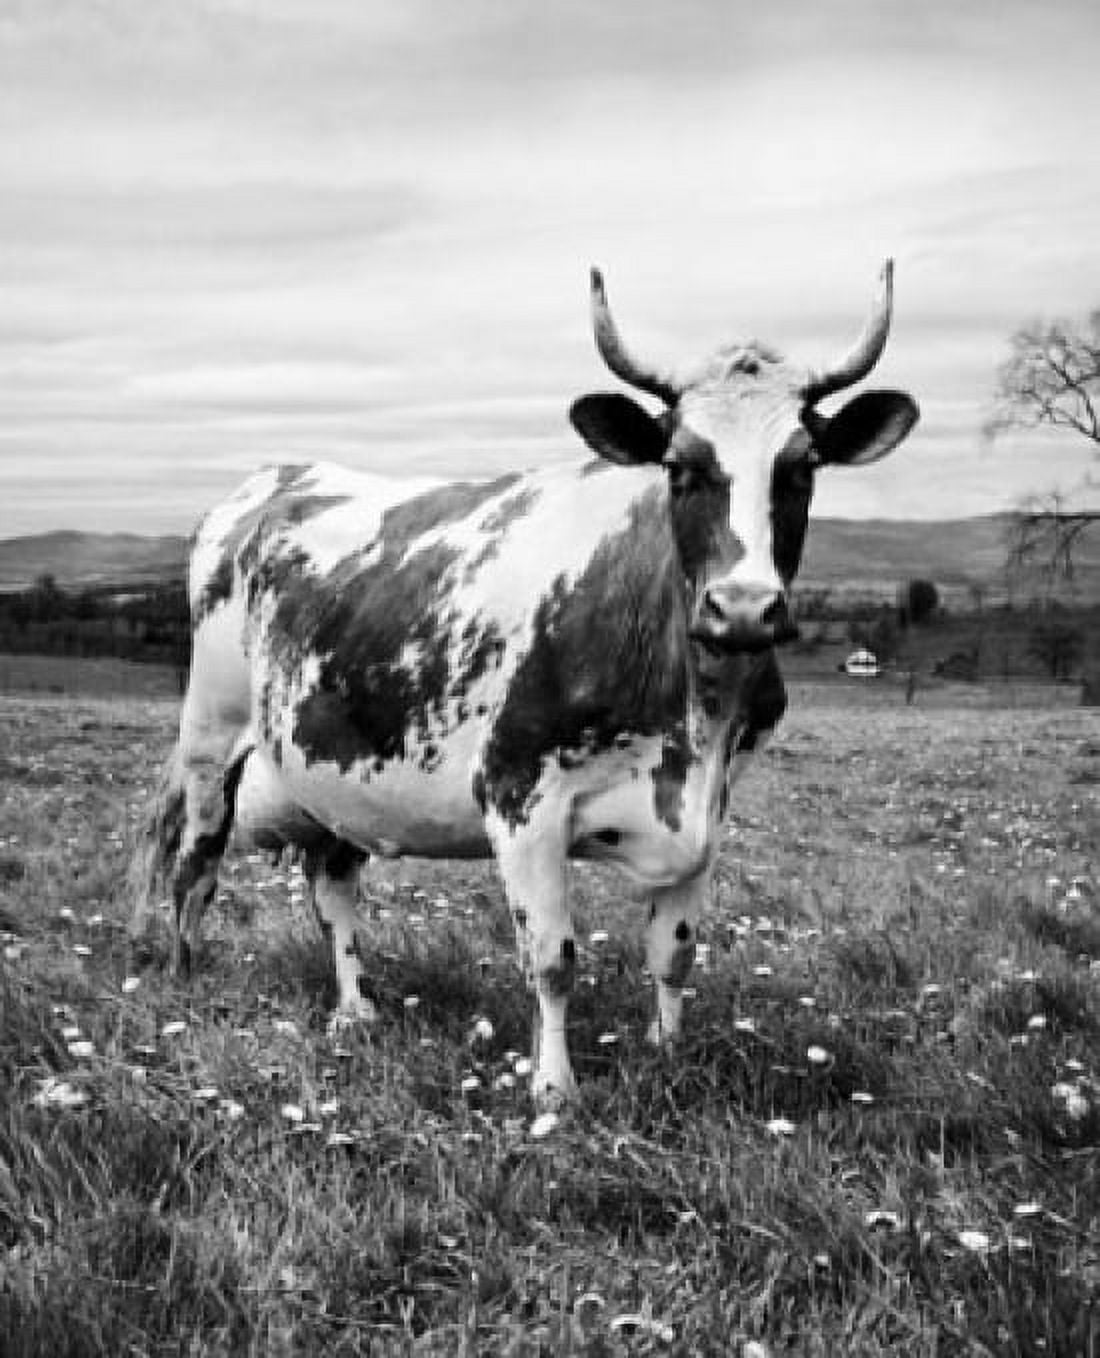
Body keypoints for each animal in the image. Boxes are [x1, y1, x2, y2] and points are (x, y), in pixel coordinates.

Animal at [130, 262, 918, 1107]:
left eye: (802, 468)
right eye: (680, 468)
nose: (742, 607)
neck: (693, 714)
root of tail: (274, 478)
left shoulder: (710, 806)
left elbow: (675, 952)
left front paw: (668, 1056)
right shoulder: (522, 798)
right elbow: (552, 958)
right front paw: (553, 1091)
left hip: (338, 774)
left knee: (330, 887)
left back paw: (356, 1010)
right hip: (212, 736)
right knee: (194, 865)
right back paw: (182, 983)